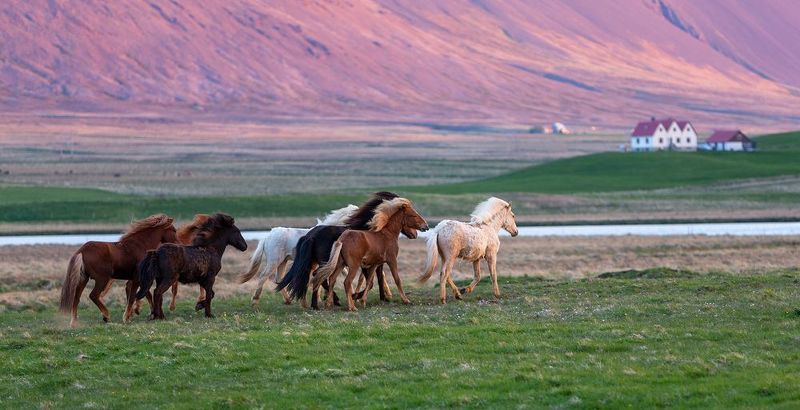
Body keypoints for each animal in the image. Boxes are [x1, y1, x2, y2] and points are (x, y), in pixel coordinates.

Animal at [275, 192, 416, 309]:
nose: (415, 234)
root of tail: (310, 235)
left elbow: (375, 279)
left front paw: (381, 297)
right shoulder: (370, 263)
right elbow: (373, 280)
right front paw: (363, 297)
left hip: (315, 262)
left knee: (316, 277)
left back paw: (316, 303)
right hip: (325, 261)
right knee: (320, 276)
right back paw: (331, 300)